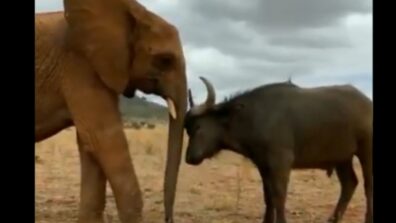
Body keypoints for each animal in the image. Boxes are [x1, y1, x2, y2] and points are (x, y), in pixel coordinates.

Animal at [184, 77, 372, 223]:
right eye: (188, 129)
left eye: (199, 126)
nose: (189, 158)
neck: (253, 116)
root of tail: (368, 103)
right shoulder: (264, 166)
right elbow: (268, 197)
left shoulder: (280, 164)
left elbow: (279, 196)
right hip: (343, 158)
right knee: (349, 183)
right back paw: (333, 219)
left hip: (366, 152)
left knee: (368, 185)